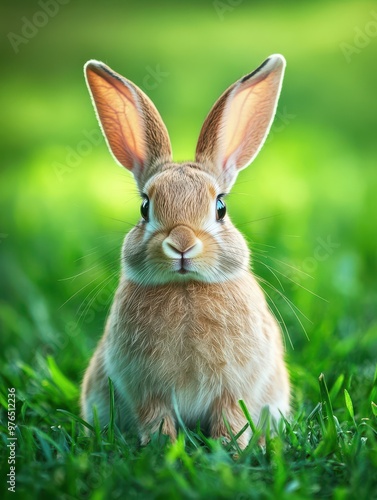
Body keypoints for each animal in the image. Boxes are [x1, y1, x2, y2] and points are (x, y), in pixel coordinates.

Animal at [81, 54, 290, 450]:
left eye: (220, 208)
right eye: (145, 207)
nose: (181, 243)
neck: (185, 289)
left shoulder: (233, 389)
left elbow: (231, 417)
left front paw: (230, 450)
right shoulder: (148, 390)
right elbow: (156, 417)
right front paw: (161, 448)